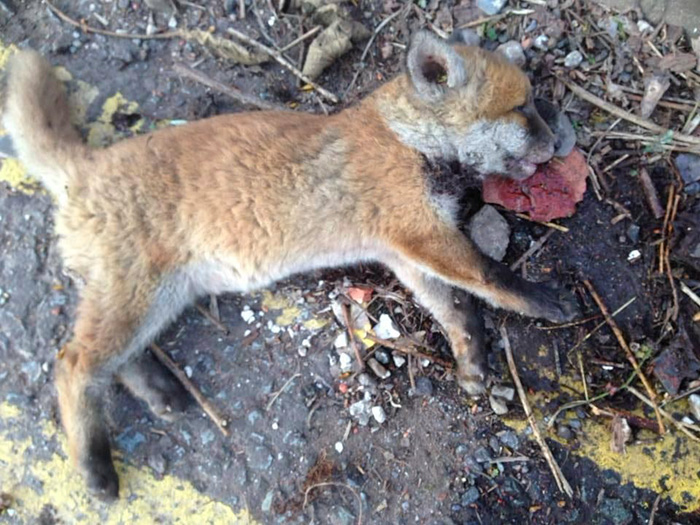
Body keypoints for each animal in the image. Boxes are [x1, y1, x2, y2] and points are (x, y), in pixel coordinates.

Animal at [3, 30, 579, 500]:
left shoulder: (405, 254)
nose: (559, 142)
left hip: (156, 299)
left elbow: (456, 310)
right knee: (72, 362)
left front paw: (472, 362)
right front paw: (543, 300)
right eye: (522, 107)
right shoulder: (418, 232)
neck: (408, 141)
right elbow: (489, 277)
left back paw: (159, 393)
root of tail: (85, 168)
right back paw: (94, 467)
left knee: (108, 361)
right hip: (137, 297)